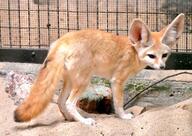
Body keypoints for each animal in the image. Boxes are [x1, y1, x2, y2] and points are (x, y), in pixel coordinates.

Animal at [13, 13, 184, 125]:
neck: (133, 52)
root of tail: (63, 40)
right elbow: (119, 103)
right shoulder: (117, 81)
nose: (162, 67)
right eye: (151, 56)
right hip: (83, 82)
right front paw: (123, 116)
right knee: (69, 103)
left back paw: (70, 119)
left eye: (164, 55)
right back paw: (84, 121)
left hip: (71, 81)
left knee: (61, 102)